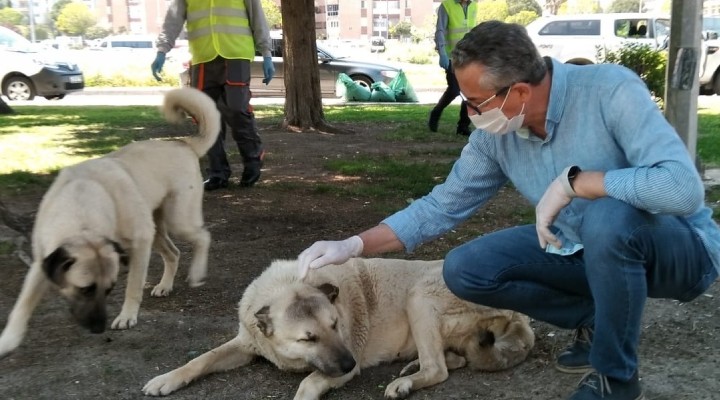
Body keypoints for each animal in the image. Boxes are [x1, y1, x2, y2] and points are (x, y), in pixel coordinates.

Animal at [0, 86, 221, 356]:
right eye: (84, 289)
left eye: (109, 289)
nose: (98, 328)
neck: (82, 205)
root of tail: (183, 143)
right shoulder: (42, 262)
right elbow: (21, 305)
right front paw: (8, 340)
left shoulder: (140, 244)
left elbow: (133, 286)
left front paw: (127, 316)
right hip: (157, 229)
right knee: (174, 253)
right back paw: (164, 285)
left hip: (177, 220)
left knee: (203, 237)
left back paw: (197, 273)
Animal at [143, 258, 536, 398]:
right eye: (308, 338)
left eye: (336, 325)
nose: (350, 364)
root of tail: (522, 316)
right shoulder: (246, 344)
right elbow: (202, 359)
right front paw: (166, 379)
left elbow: (308, 383)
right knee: (451, 360)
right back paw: (411, 366)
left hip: (419, 297)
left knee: (438, 369)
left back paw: (406, 382)